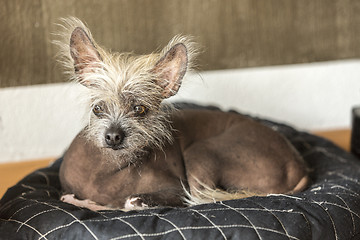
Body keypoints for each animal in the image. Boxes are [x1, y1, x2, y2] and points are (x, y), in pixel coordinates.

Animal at [57, 17, 310, 211]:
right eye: (98, 108)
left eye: (140, 109)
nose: (113, 136)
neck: (106, 169)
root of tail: (298, 165)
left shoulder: (177, 188)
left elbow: (138, 202)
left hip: (202, 150)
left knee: (200, 199)